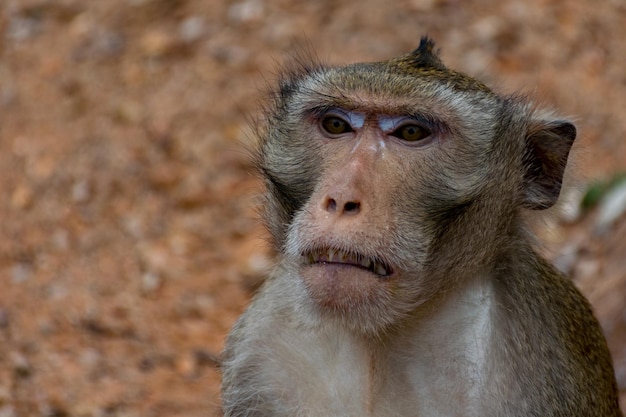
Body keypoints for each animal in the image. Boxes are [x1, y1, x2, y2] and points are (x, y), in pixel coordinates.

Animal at [218, 37, 620, 414]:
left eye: (410, 133)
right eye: (336, 125)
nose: (342, 200)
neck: (378, 337)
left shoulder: (546, 361)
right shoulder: (259, 350)